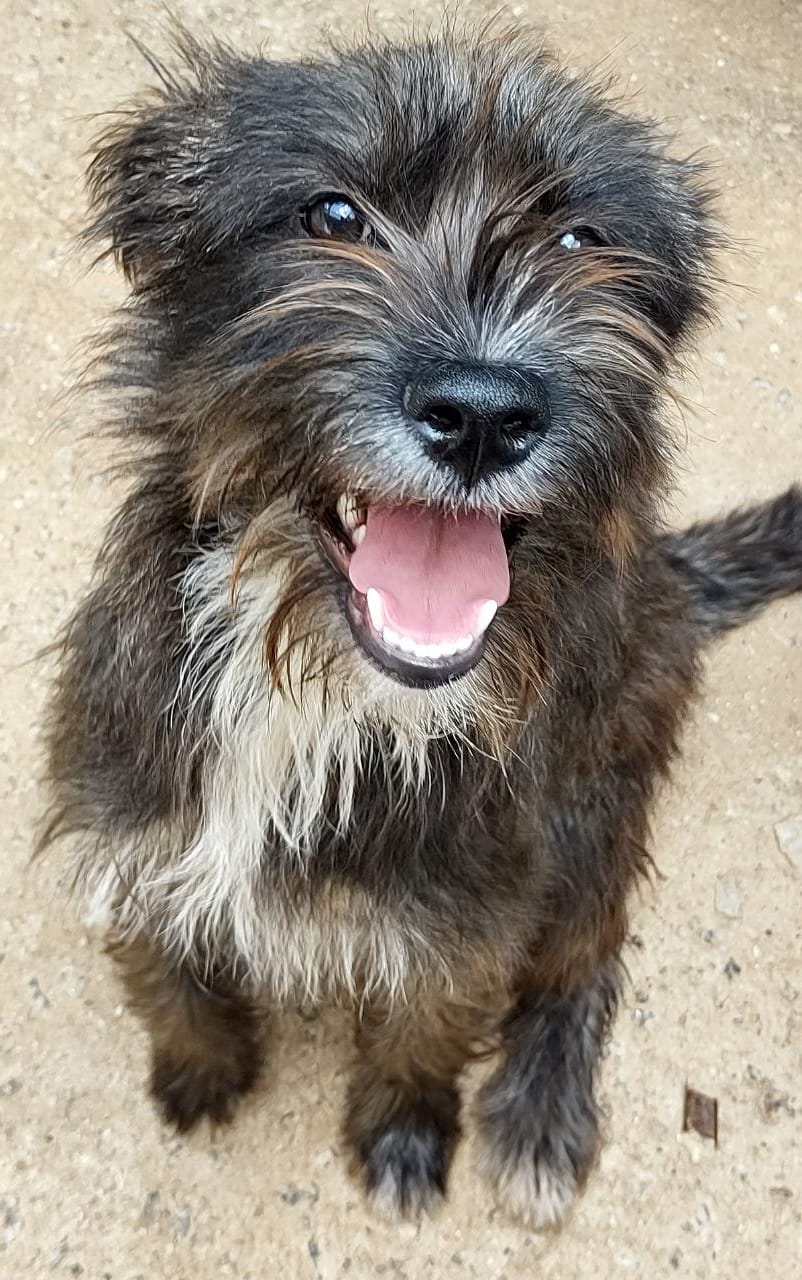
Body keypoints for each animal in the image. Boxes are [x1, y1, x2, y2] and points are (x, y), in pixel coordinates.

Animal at [43, 27, 802, 1228]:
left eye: (583, 238)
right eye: (333, 214)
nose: (484, 412)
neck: (313, 694)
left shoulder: (469, 909)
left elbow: (423, 1028)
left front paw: (402, 1131)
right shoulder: (127, 815)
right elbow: (163, 965)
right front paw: (200, 1065)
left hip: (595, 814)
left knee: (583, 963)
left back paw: (540, 1112)